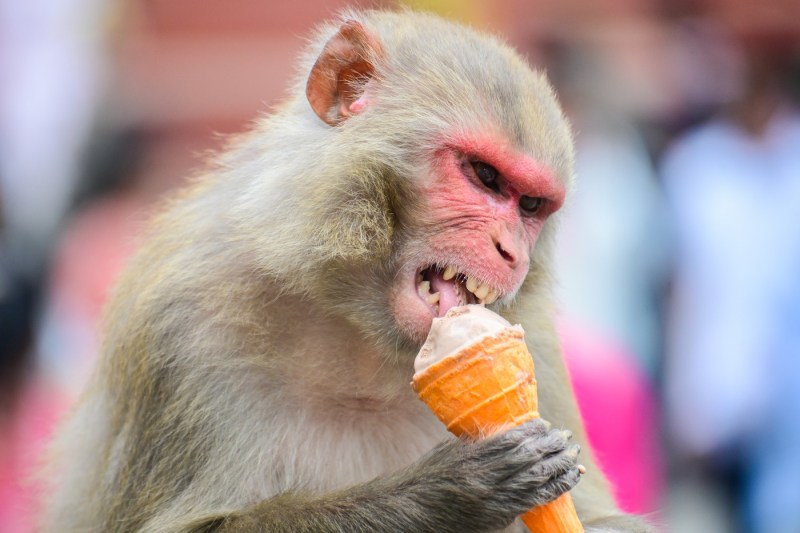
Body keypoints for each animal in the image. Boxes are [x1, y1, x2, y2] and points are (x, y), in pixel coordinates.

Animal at [42, 10, 653, 533]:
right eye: (484, 176)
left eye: (531, 206)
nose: (511, 253)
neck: (355, 327)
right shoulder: (178, 325)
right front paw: (450, 492)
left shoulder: (537, 340)